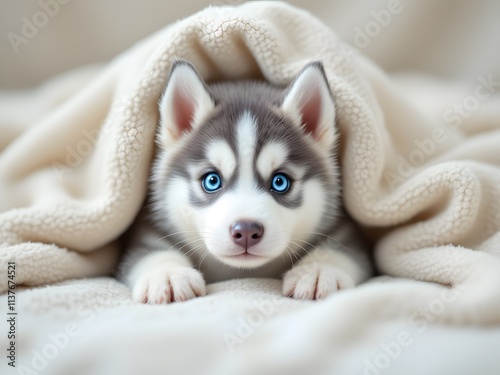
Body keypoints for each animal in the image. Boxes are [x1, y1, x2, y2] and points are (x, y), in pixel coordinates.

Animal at [120, 60, 372, 304]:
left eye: (280, 182)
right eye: (212, 180)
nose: (247, 231)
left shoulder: (345, 233)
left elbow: (339, 249)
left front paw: (318, 270)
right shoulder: (148, 230)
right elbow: (150, 251)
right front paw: (167, 273)